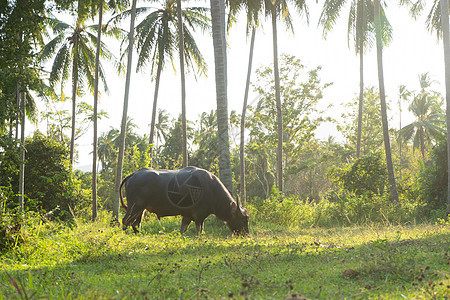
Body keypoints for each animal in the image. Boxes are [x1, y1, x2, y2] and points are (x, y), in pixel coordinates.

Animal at [119, 166, 250, 234]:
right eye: (243, 220)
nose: (246, 234)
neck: (211, 189)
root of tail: (134, 174)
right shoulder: (199, 216)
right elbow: (199, 231)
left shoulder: (187, 215)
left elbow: (183, 230)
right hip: (134, 207)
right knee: (126, 221)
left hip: (141, 209)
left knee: (136, 224)